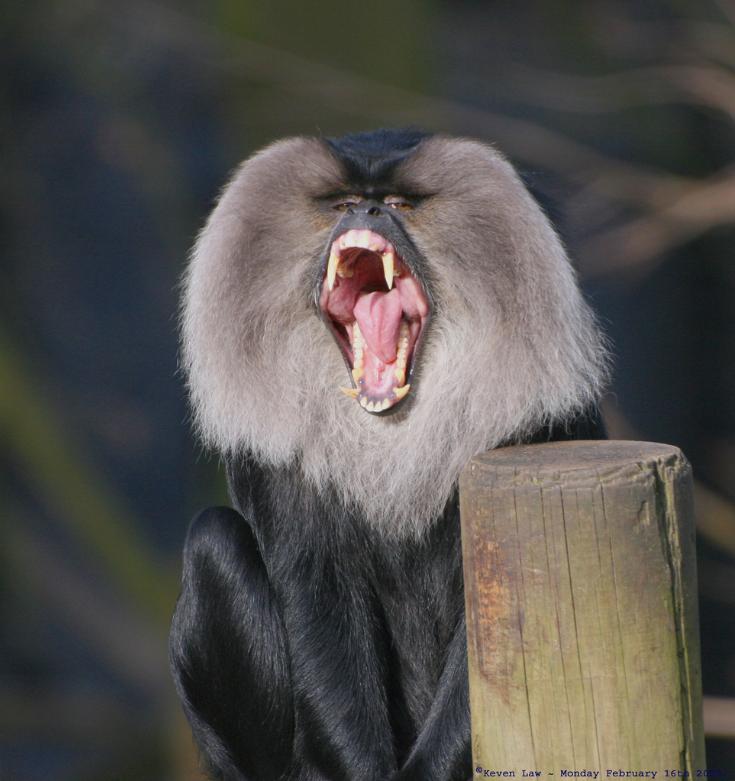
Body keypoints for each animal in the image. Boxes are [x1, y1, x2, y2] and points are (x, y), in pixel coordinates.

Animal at [169, 129, 608, 781]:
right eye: (342, 202)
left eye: (399, 204)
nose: (366, 214)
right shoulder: (280, 474)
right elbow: (313, 597)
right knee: (212, 543)